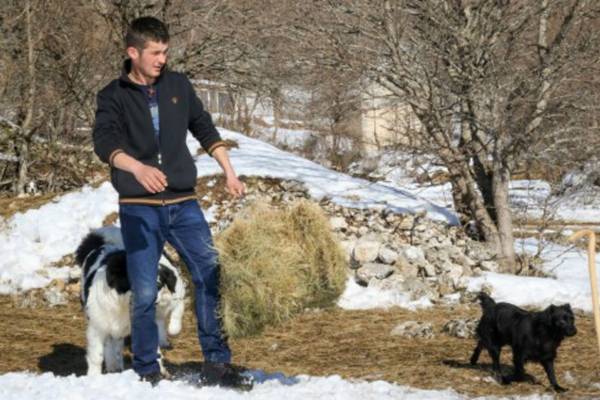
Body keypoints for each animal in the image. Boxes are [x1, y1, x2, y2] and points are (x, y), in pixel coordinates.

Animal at [76, 227, 186, 376]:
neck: (122, 303)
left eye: (158, 285)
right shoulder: (97, 328)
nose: (153, 301)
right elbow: (96, 356)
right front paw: (94, 376)